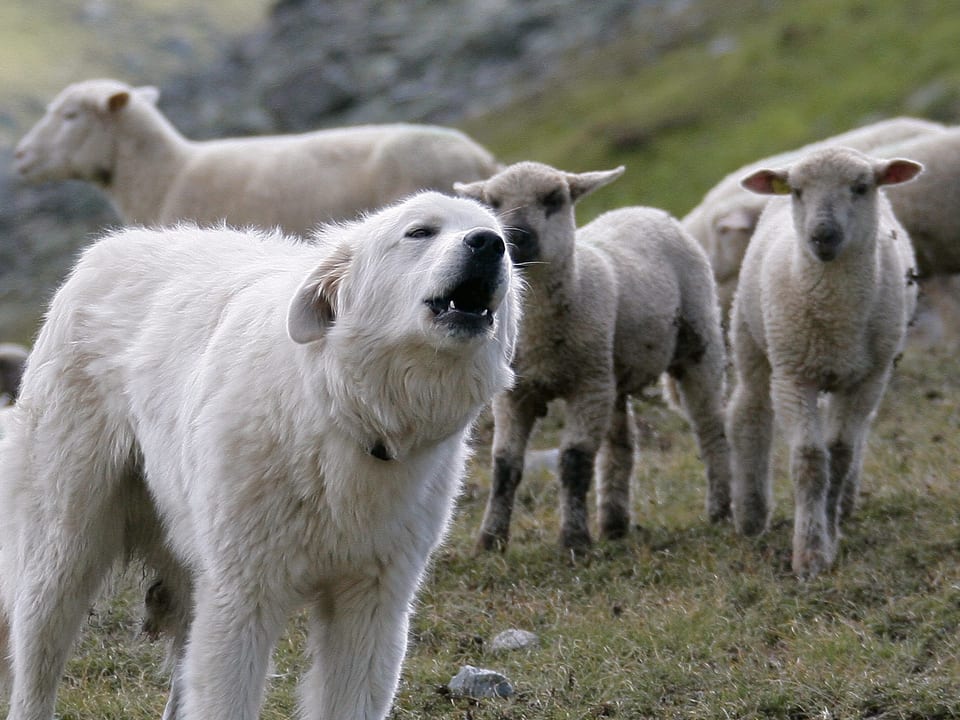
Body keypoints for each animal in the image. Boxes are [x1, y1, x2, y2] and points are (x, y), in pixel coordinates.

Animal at [0, 191, 520, 720]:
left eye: (504, 239)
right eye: (420, 232)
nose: (487, 244)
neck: (346, 411)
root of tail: (108, 246)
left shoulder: (372, 605)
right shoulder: (242, 598)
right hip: (64, 548)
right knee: (37, 660)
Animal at [454, 160, 732, 548]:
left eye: (554, 199)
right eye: (492, 203)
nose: (515, 237)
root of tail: (646, 210)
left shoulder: (586, 388)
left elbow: (574, 461)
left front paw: (574, 539)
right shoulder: (514, 394)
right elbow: (505, 464)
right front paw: (490, 539)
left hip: (696, 344)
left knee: (709, 425)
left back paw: (721, 510)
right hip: (609, 368)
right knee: (620, 445)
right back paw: (614, 524)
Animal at [728, 146, 924, 580]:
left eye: (861, 187)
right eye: (797, 191)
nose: (822, 235)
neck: (835, 315)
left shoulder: (867, 378)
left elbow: (839, 454)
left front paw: (829, 532)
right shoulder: (792, 376)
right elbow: (811, 460)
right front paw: (810, 555)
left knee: (859, 433)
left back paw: (846, 504)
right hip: (752, 338)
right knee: (749, 413)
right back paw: (750, 514)